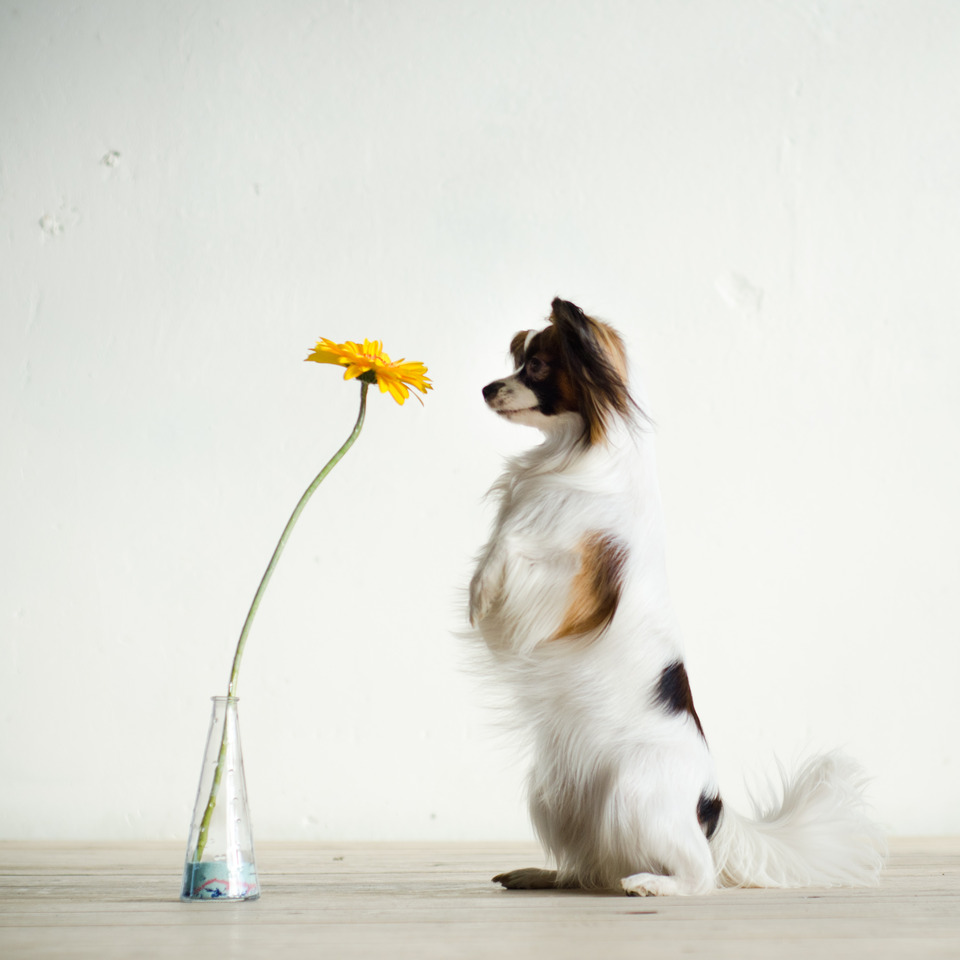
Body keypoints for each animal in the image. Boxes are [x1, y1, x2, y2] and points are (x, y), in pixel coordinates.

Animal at [468, 296, 880, 896]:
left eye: (537, 368)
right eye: (518, 363)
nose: (485, 388)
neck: (572, 448)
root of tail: (713, 809)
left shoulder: (570, 577)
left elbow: (510, 545)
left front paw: (476, 594)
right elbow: (497, 541)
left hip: (632, 790)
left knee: (698, 873)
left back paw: (652, 884)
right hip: (554, 796)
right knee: (587, 868)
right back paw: (541, 873)